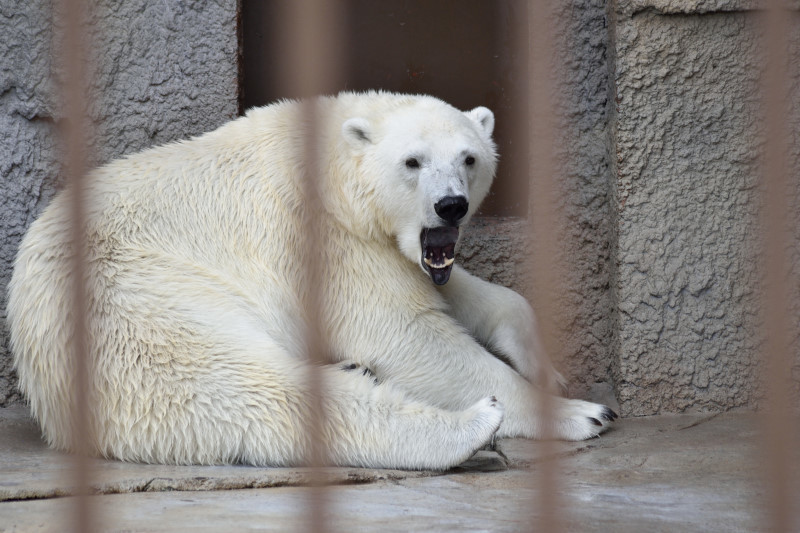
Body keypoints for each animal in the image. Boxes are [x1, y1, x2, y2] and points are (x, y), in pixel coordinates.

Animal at [6, 91, 616, 470]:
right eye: (413, 162)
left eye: (469, 157)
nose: (451, 206)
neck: (334, 168)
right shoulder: (322, 240)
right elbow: (409, 335)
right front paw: (580, 410)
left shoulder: (392, 248)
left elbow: (459, 291)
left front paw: (547, 368)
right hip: (140, 301)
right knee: (245, 386)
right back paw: (474, 426)